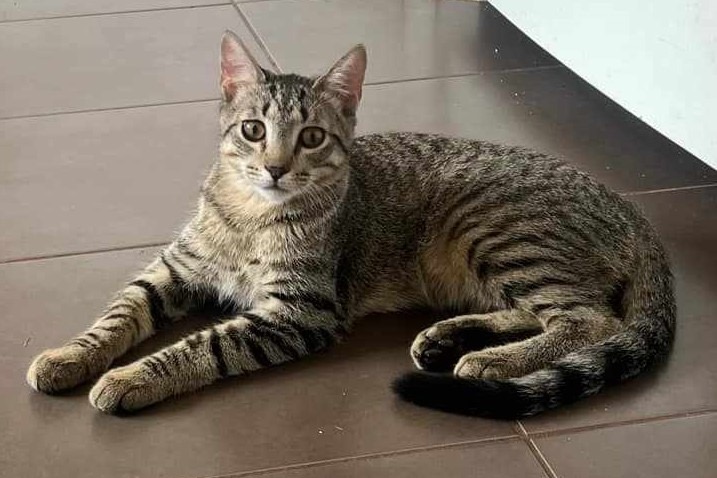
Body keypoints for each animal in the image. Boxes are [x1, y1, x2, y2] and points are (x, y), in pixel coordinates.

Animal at [26, 31, 675, 418]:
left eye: (312, 137)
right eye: (253, 130)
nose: (275, 167)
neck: (250, 215)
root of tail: (632, 209)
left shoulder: (300, 311)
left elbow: (205, 344)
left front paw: (133, 377)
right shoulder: (173, 270)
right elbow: (117, 314)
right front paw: (69, 357)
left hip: (497, 230)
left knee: (589, 319)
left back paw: (491, 361)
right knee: (547, 311)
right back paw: (453, 337)